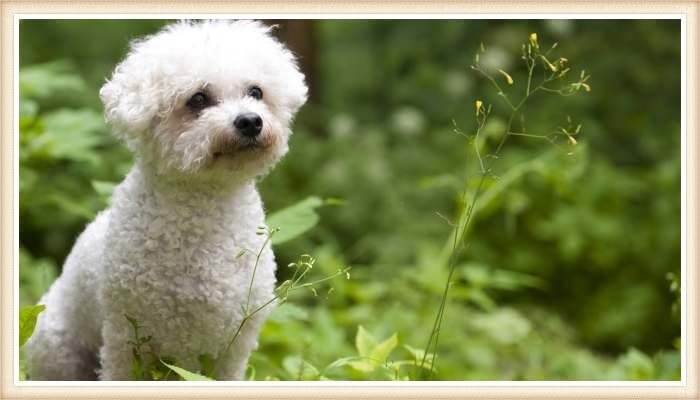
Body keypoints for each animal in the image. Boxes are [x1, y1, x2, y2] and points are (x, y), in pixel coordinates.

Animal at [26, 19, 304, 382]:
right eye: (198, 98)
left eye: (256, 92)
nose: (250, 121)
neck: (205, 204)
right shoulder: (124, 340)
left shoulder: (234, 345)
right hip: (59, 352)